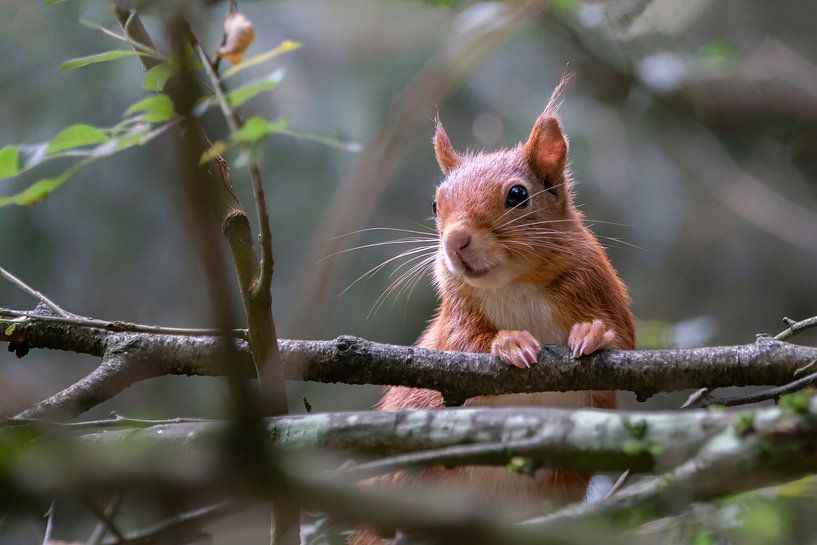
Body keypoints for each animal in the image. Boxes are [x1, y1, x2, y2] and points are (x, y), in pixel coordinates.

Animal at [350, 83, 635, 544]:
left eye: (517, 195)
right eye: (435, 204)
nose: (455, 242)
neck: (513, 283)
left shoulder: (599, 287)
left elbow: (622, 336)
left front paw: (592, 334)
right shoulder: (456, 315)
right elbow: (462, 344)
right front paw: (511, 342)